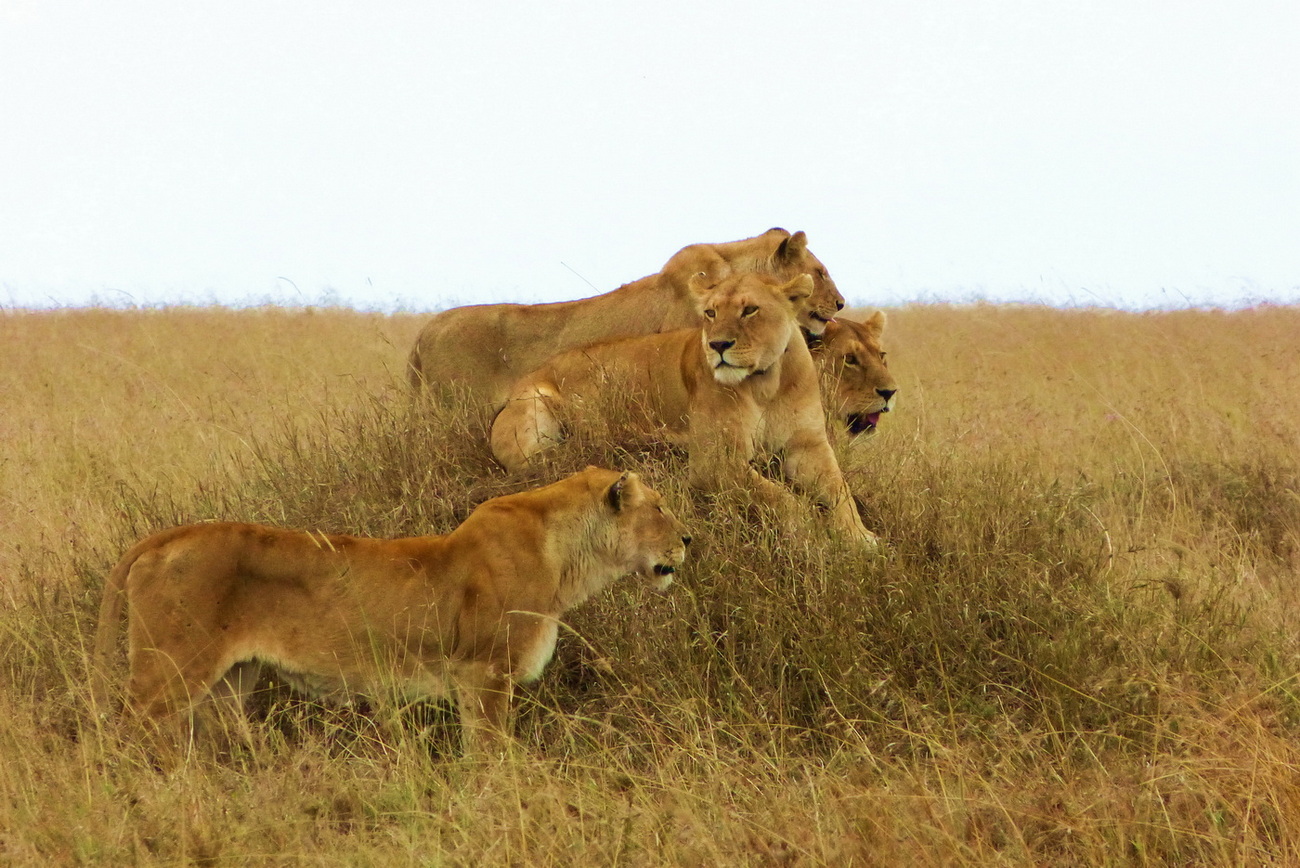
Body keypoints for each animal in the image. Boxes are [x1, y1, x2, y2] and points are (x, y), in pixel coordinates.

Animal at [91, 467, 691, 754]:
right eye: (661, 507)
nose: (689, 539)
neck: (566, 559)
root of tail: (167, 535)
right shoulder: (484, 672)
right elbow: (491, 753)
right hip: (168, 670)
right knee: (122, 734)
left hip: (231, 681)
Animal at [489, 272, 877, 545]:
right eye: (711, 313)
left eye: (750, 310)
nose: (718, 345)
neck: (766, 380)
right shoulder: (714, 461)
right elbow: (781, 497)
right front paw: (810, 531)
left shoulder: (808, 445)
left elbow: (840, 490)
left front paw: (860, 538)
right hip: (534, 408)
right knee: (544, 465)